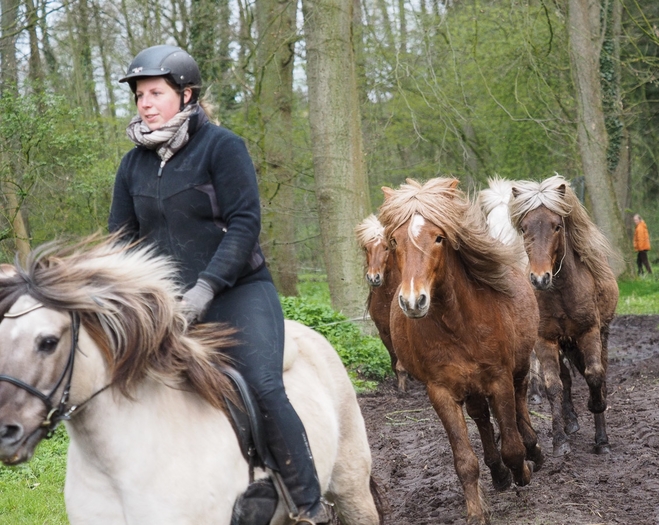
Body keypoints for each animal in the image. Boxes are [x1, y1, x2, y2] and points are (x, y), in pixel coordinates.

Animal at [356, 213, 408, 388]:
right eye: (367, 248)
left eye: (386, 248)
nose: (374, 277)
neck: (388, 298)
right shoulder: (383, 332)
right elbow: (394, 362)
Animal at [378, 178, 544, 520]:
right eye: (394, 241)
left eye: (439, 238)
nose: (413, 301)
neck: (456, 323)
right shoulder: (441, 391)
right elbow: (465, 460)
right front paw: (476, 512)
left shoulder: (499, 378)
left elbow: (512, 445)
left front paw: (523, 470)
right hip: (471, 386)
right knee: (481, 417)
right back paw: (498, 472)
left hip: (518, 367)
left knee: (520, 403)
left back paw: (533, 451)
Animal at [508, 175, 620, 454]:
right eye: (524, 228)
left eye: (557, 226)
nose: (539, 278)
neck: (560, 292)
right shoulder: (544, 340)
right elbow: (554, 385)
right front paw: (560, 439)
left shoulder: (589, 332)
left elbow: (594, 376)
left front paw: (601, 435)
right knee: (566, 379)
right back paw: (570, 421)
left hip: (598, 337)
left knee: (597, 375)